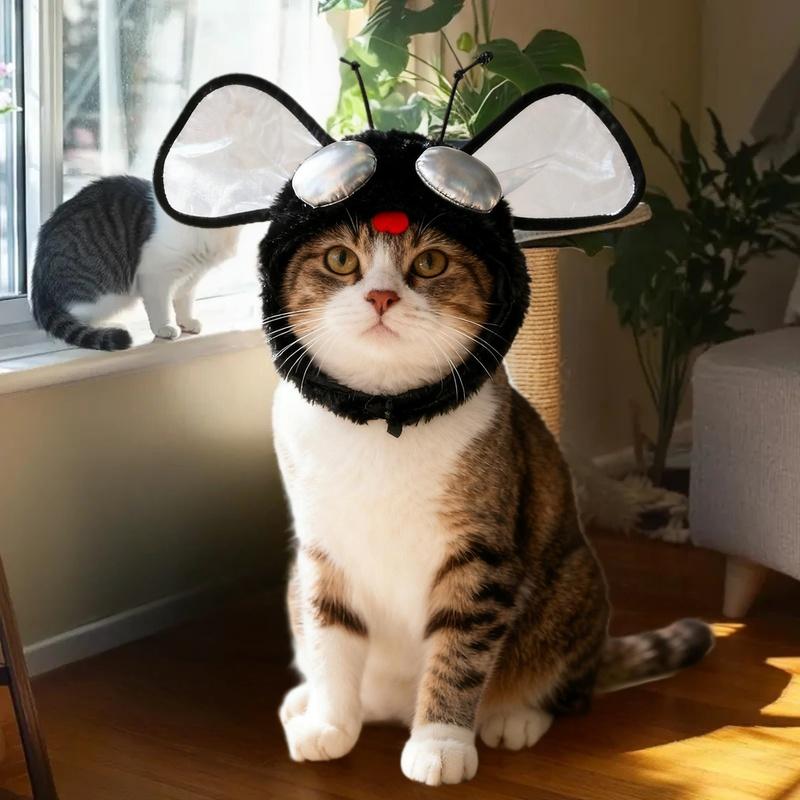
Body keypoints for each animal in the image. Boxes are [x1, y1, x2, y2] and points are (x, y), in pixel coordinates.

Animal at [31, 175, 239, 350]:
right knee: (72, 321)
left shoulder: (191, 276)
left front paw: (187, 321)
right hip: (105, 295)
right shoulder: (155, 275)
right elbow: (161, 306)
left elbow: (184, 301)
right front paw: (165, 327)